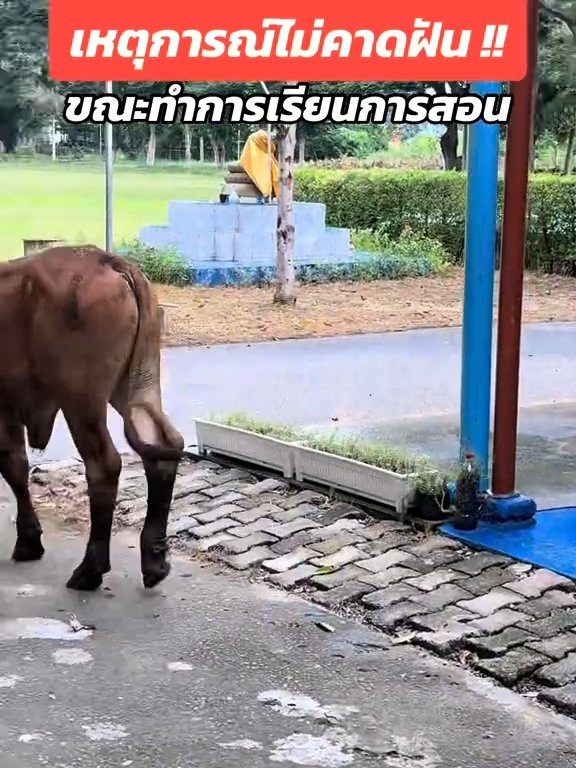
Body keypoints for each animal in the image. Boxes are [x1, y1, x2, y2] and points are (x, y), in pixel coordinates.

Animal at [0, 244, 183, 588]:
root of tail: (108, 260)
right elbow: (15, 466)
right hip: (139, 385)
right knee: (163, 446)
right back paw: (154, 560)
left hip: (81, 401)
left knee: (103, 465)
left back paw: (90, 568)